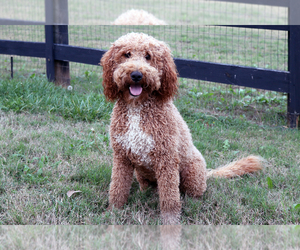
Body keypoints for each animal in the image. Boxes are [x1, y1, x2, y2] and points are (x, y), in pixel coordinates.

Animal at [100, 32, 262, 224]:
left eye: (148, 56)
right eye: (127, 54)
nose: (137, 74)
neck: (137, 107)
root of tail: (206, 173)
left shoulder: (166, 159)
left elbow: (170, 196)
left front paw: (170, 221)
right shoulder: (122, 156)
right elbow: (117, 187)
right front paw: (113, 211)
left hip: (192, 173)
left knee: (193, 193)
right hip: (141, 172)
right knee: (147, 186)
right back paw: (144, 192)